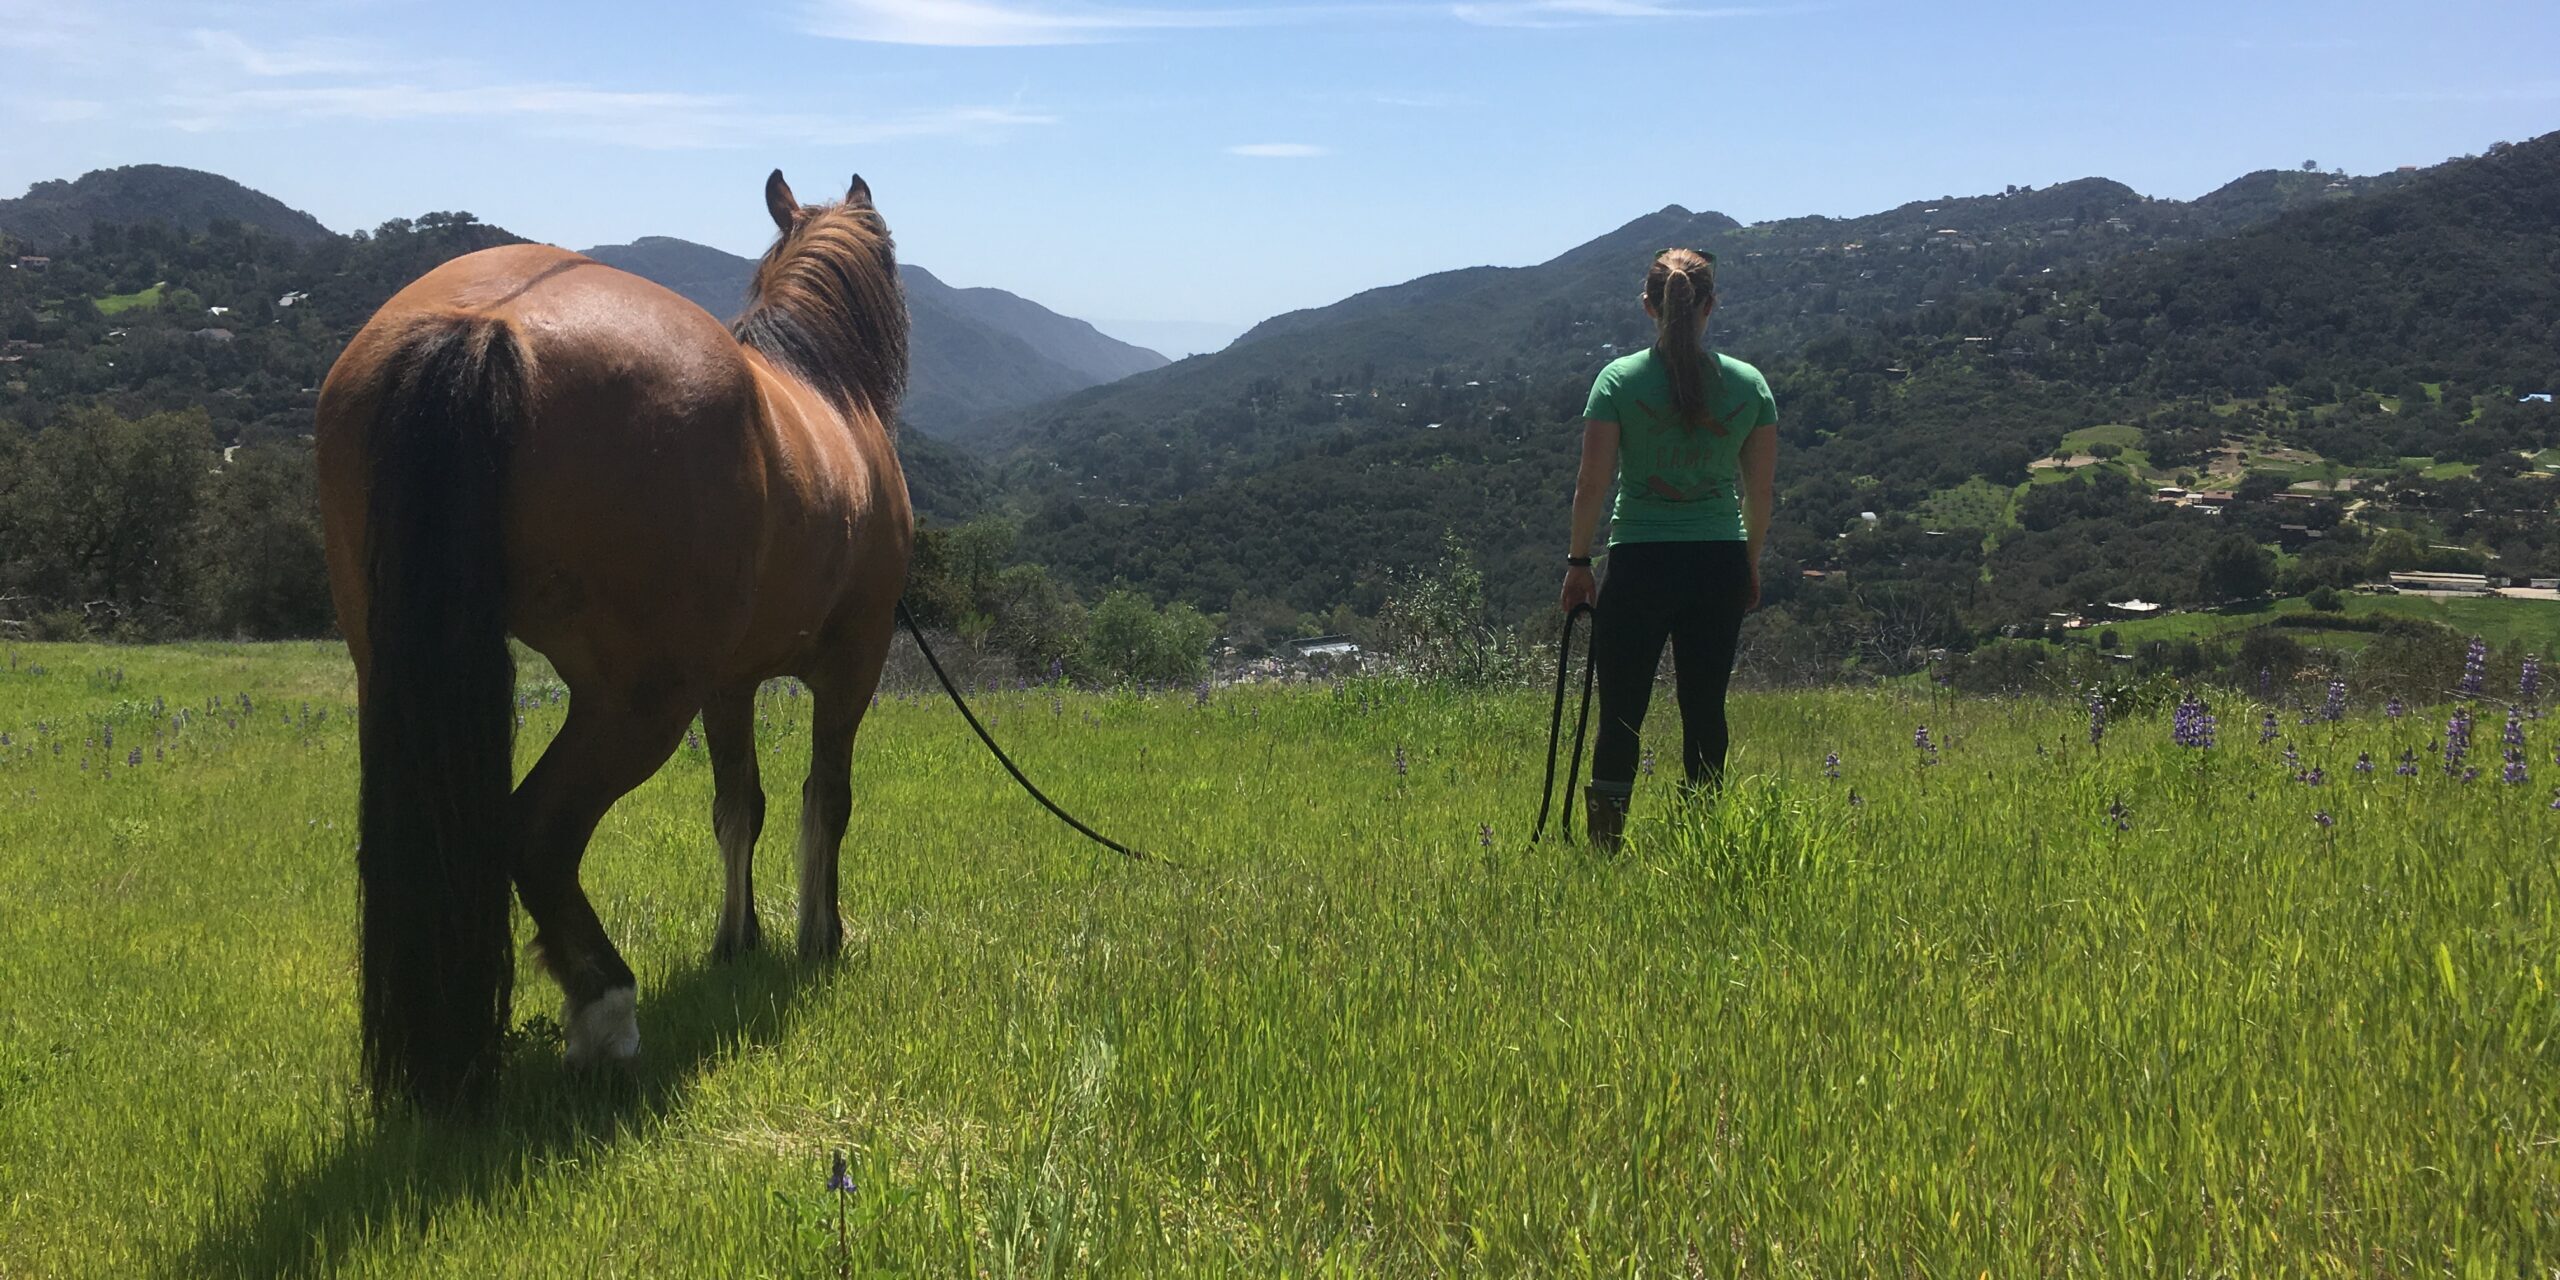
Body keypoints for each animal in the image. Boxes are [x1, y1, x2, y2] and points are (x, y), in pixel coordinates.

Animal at [315, 171, 914, 1112]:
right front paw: (821, 935)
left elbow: (739, 806)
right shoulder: (852, 665)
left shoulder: (728, 685)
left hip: (396, 676)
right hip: (637, 702)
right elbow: (827, 799)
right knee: (537, 833)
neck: (827, 395)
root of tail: (483, 324)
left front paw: (736, 939)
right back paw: (606, 1012)